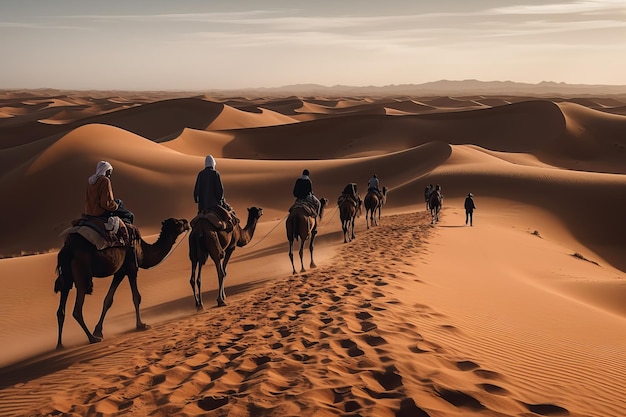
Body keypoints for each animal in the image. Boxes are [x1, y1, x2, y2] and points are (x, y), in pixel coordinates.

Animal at [53, 216, 190, 350]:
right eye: (178, 223)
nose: (186, 222)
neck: (142, 249)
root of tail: (65, 250)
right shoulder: (131, 267)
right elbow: (136, 297)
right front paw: (141, 325)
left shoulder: (120, 272)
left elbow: (108, 300)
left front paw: (98, 330)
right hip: (82, 274)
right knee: (77, 309)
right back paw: (92, 338)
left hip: (67, 278)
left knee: (61, 310)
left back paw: (60, 345)